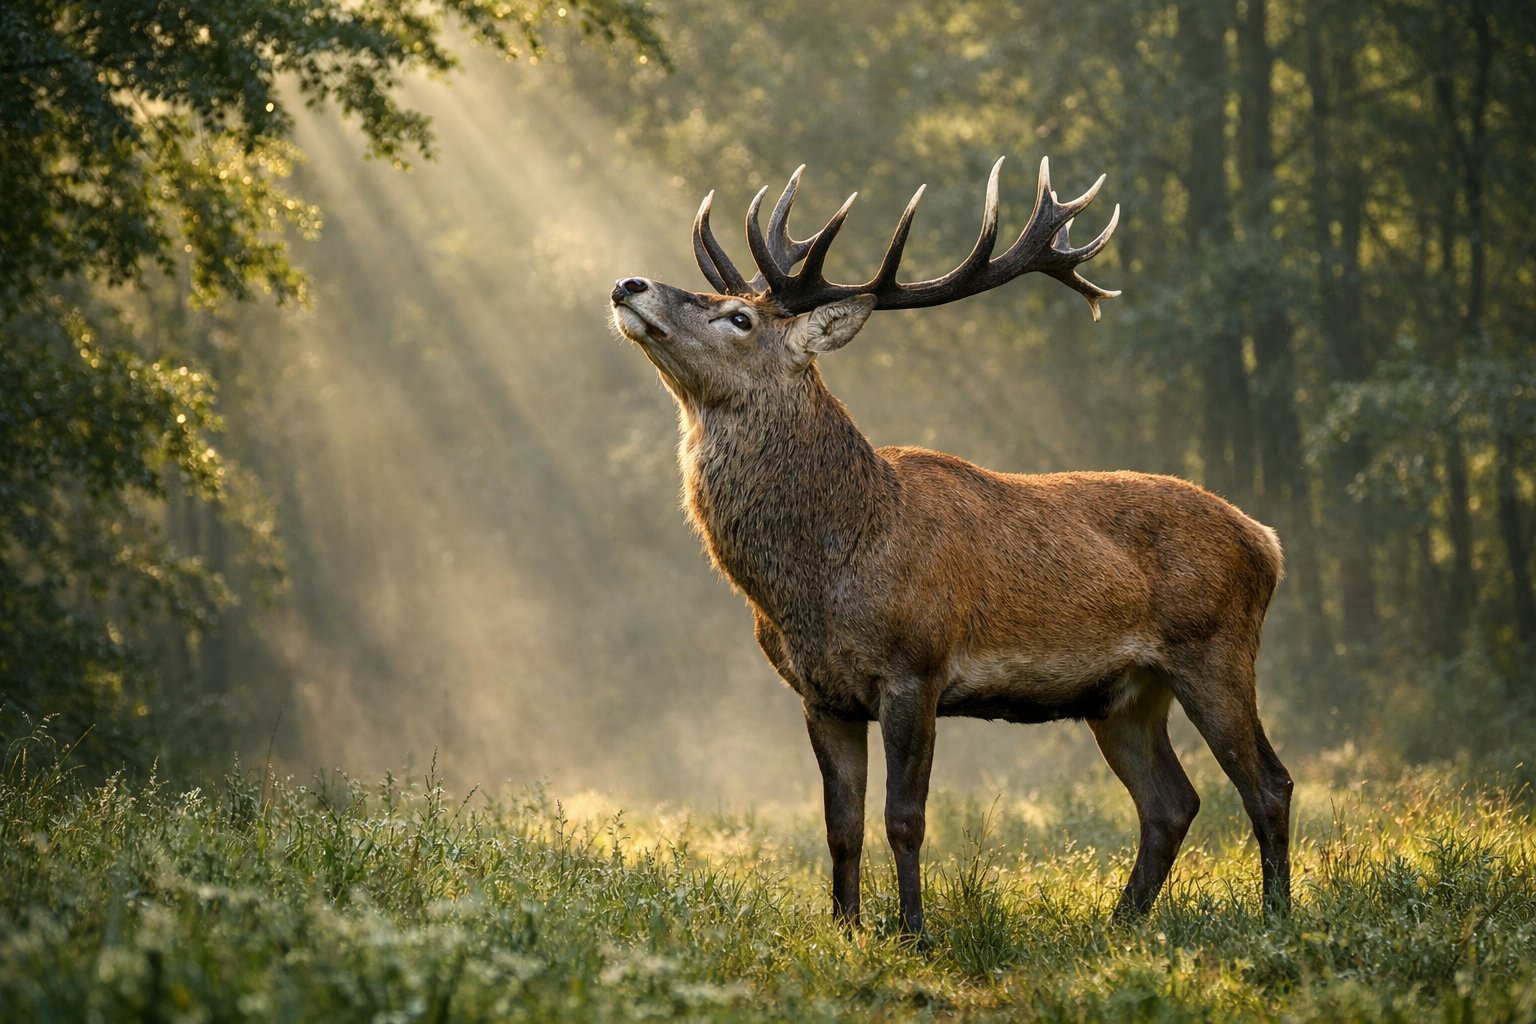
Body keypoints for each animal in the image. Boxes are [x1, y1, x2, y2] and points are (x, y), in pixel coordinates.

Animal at [608, 156, 1292, 940]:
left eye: (739, 318)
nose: (629, 283)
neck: (824, 574)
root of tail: (1267, 541)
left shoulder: (918, 665)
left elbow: (904, 819)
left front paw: (914, 933)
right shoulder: (821, 694)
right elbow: (841, 826)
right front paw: (845, 930)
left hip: (1216, 649)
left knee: (1267, 783)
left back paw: (1276, 919)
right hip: (1123, 695)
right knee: (1172, 802)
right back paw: (1120, 924)